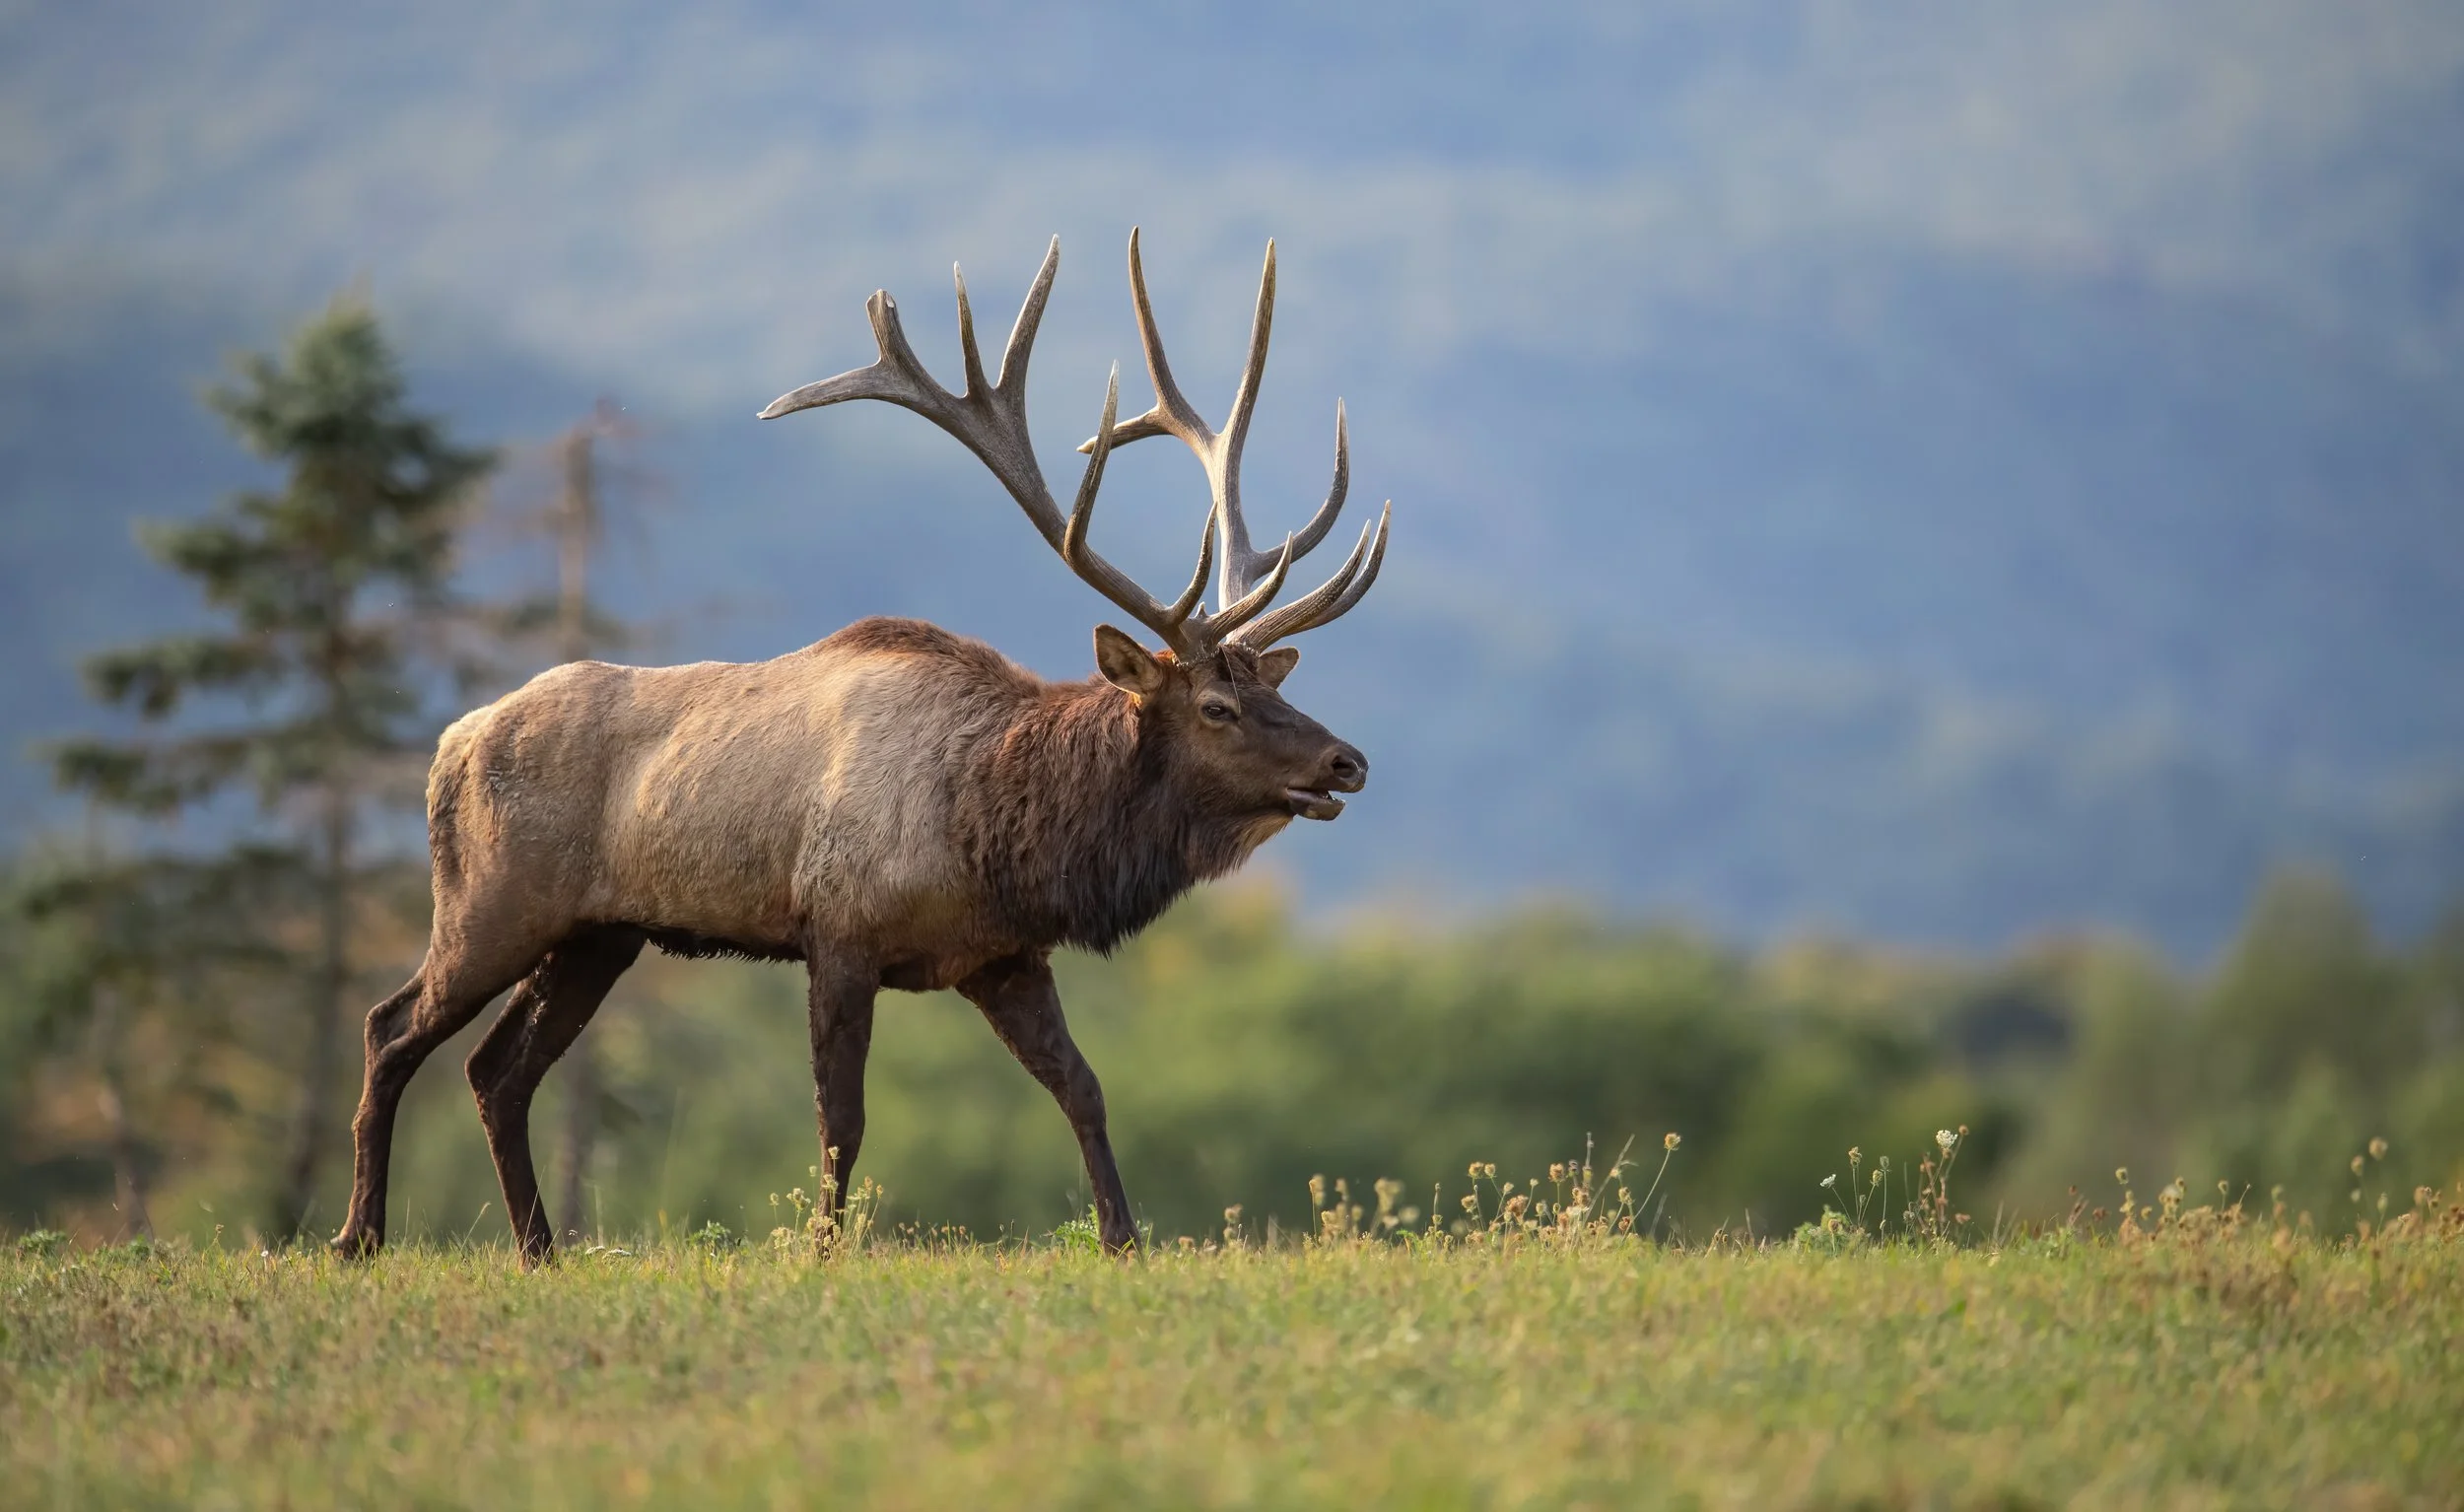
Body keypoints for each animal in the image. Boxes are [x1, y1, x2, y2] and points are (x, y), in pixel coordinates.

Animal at [329, 230, 1389, 1261]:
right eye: (1215, 705)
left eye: (1272, 688)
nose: (1348, 761)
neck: (1000, 825)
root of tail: (451, 743)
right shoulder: (838, 930)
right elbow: (841, 1117)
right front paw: (824, 1248)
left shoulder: (1001, 954)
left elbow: (1082, 1088)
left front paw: (1125, 1240)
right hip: (493, 902)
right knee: (391, 1027)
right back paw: (359, 1235)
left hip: (597, 933)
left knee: (496, 1070)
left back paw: (539, 1247)